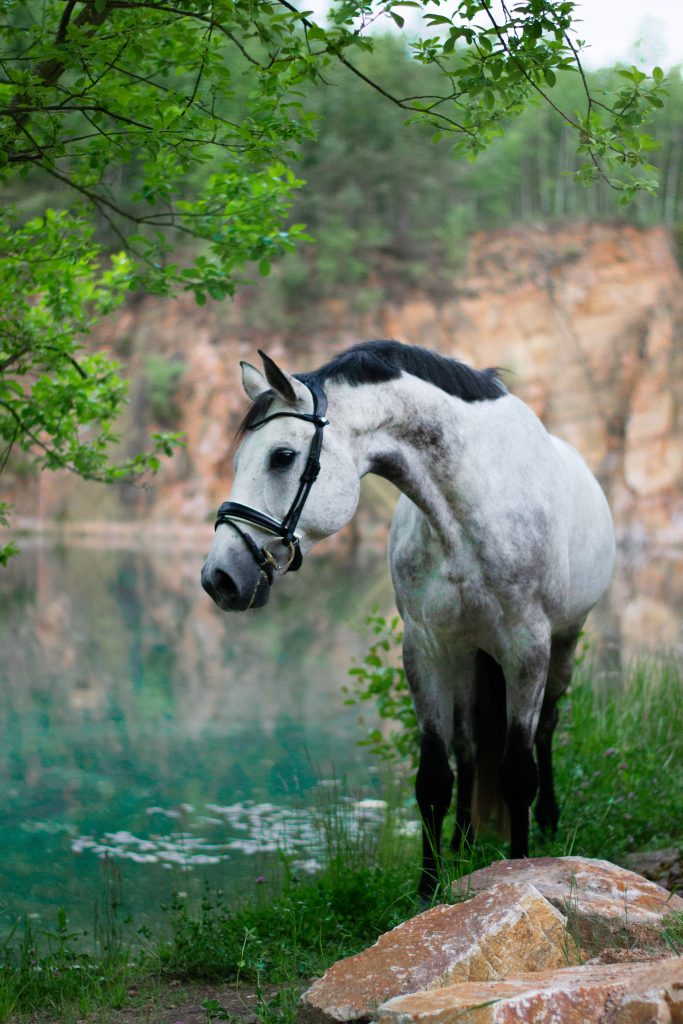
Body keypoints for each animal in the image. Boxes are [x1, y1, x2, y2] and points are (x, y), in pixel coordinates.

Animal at [201, 342, 614, 897]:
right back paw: (464, 841)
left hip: (563, 647)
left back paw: (547, 819)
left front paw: (517, 871)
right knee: (469, 746)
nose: (219, 578)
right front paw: (428, 889)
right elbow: (435, 778)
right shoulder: (425, 649)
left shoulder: (527, 650)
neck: (474, 509)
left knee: (545, 730)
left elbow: (516, 772)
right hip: (468, 657)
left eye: (281, 456)